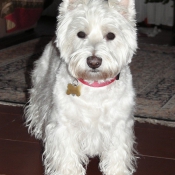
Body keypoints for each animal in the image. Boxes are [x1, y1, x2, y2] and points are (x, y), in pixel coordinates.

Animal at [25, 0, 137, 174]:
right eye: (81, 34)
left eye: (111, 35)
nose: (94, 62)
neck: (94, 85)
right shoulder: (64, 125)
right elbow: (67, 155)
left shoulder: (120, 126)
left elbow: (117, 154)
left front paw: (117, 171)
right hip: (41, 80)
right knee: (37, 105)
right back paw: (37, 129)